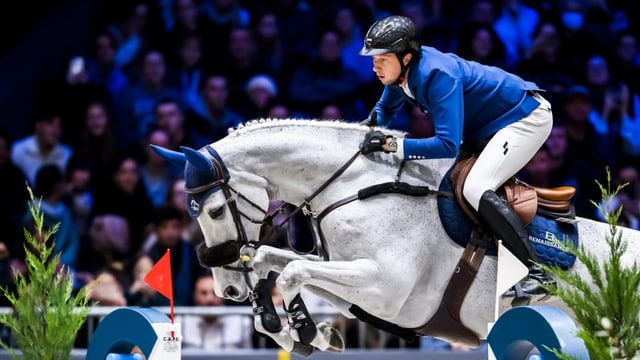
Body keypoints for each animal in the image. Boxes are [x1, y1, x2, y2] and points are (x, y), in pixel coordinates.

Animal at [151, 119, 640, 356]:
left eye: (214, 210)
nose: (228, 290)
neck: (356, 187)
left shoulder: (386, 288)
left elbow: (290, 271)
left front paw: (305, 331)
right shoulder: (361, 287)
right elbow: (276, 260)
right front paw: (299, 331)